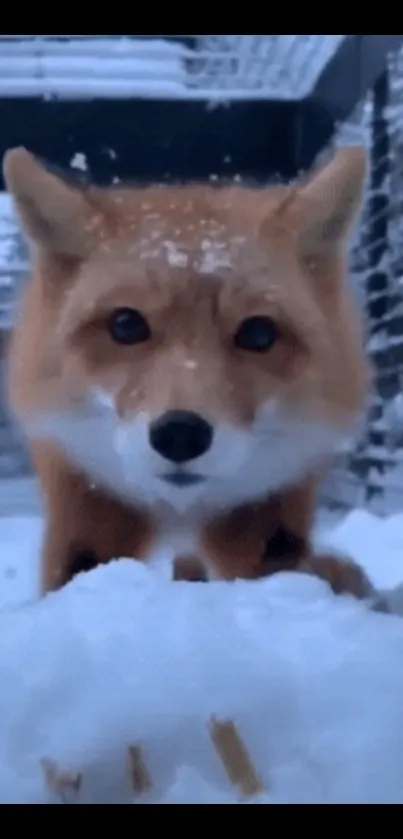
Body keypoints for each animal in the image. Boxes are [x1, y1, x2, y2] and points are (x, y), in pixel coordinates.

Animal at [2, 148, 376, 600]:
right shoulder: (80, 485)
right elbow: (74, 571)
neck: (178, 510)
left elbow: (265, 566)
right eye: (126, 325)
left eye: (258, 333)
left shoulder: (269, 501)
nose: (180, 434)